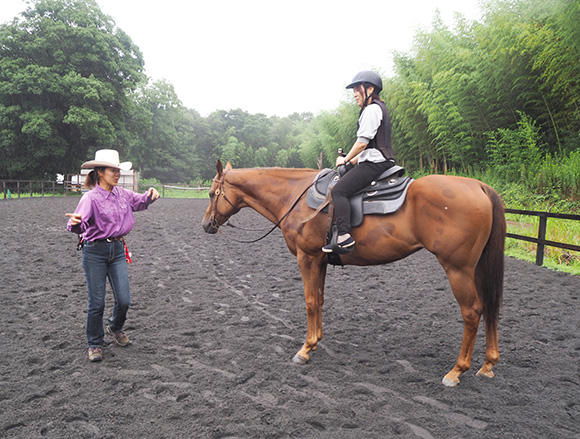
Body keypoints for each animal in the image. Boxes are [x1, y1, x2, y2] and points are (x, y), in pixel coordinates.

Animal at [203, 162, 502, 388]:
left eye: (211, 193)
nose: (206, 224)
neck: (295, 196)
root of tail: (479, 186)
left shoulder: (306, 258)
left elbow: (309, 302)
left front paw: (305, 349)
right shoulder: (320, 260)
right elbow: (319, 301)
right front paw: (316, 341)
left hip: (458, 269)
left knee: (472, 312)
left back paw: (457, 370)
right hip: (476, 269)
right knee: (489, 307)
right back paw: (488, 364)